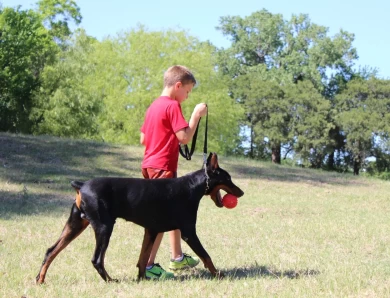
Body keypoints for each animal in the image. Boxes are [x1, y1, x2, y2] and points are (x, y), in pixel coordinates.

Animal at [36, 152, 244, 282]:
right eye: (228, 179)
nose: (241, 192)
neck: (193, 186)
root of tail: (81, 185)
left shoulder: (151, 230)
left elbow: (143, 258)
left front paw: (142, 278)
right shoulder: (188, 232)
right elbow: (206, 255)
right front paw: (219, 275)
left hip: (76, 224)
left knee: (50, 251)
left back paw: (40, 279)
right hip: (104, 227)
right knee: (96, 259)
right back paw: (111, 281)